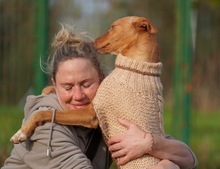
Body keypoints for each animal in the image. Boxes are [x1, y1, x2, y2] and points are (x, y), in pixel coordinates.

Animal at [11, 15, 164, 168]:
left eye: (113, 27)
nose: (91, 43)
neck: (137, 67)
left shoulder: (91, 114)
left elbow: (44, 113)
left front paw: (21, 132)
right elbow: (49, 91)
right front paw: (46, 91)